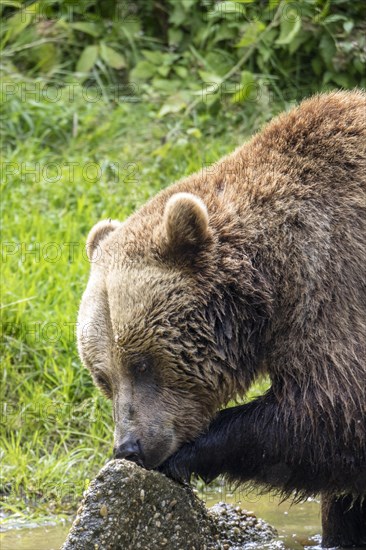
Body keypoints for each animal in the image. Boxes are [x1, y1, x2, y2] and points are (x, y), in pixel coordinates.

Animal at [78, 90, 366, 548]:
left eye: (142, 363)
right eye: (102, 377)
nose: (129, 448)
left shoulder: (337, 280)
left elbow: (334, 407)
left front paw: (191, 453)